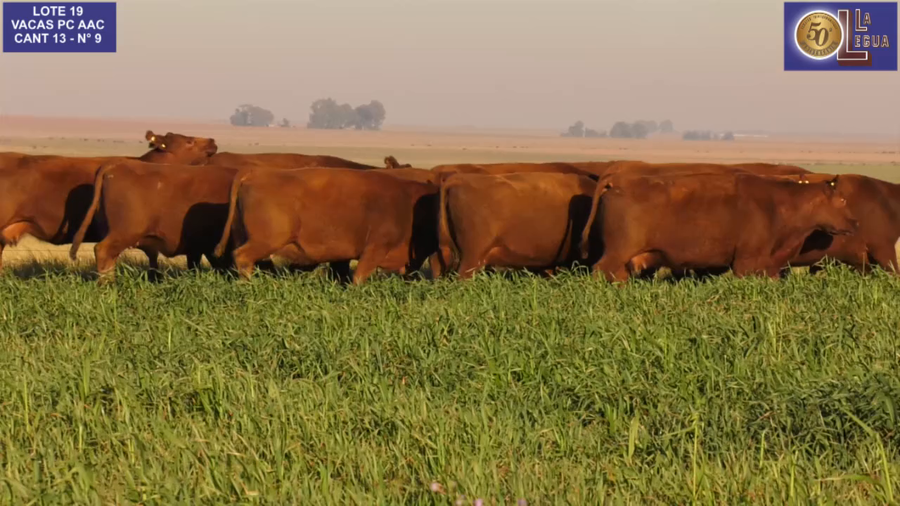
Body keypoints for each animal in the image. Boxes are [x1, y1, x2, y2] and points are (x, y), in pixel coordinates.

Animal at [214, 168, 440, 284]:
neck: (409, 203)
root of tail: (253, 174)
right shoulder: (375, 248)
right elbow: (359, 276)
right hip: (266, 241)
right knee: (242, 257)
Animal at [579, 172, 858, 282]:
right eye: (843, 200)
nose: (855, 222)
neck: (779, 205)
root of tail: (619, 180)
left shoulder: (769, 267)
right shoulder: (746, 263)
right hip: (617, 253)